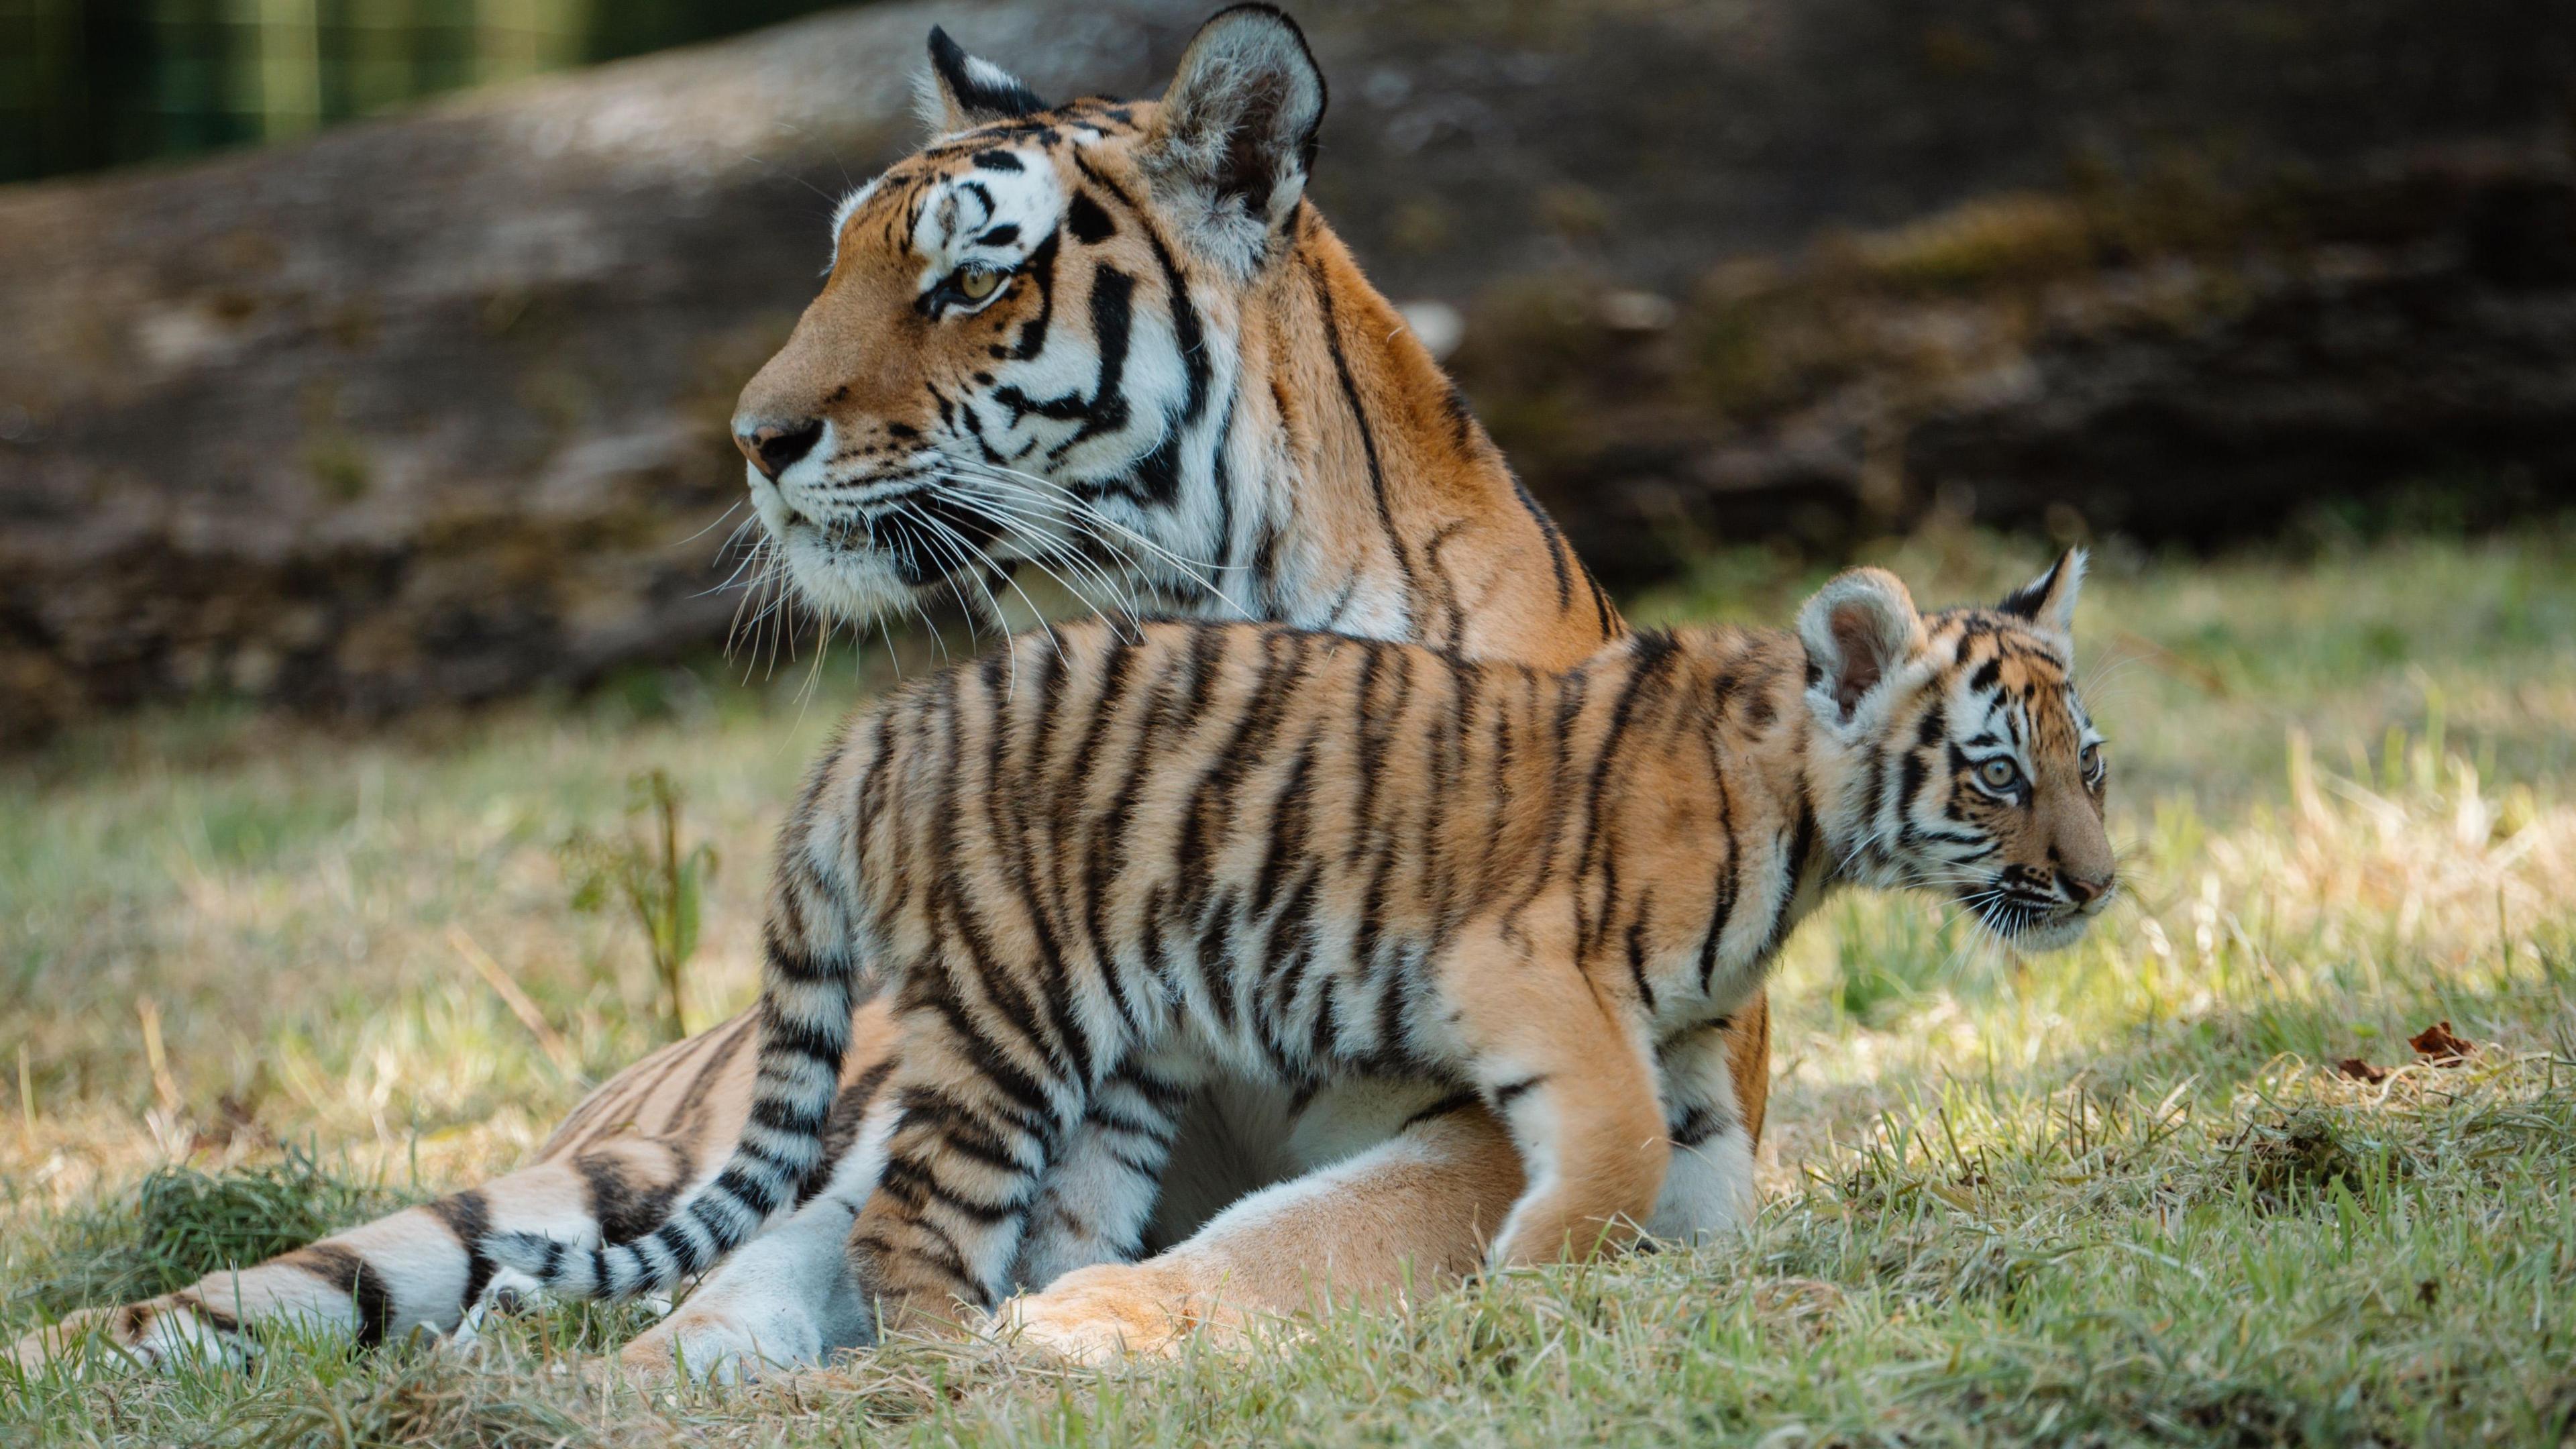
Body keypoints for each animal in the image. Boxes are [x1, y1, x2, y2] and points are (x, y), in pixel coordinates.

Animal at [0, 3, 1772, 1371]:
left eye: (969, 284)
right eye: (838, 267)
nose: (754, 439)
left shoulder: (1586, 1104)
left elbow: (1331, 1229)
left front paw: (1088, 1330)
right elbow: (790, 1258)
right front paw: (661, 1373)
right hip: (553, 1186)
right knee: (244, 1299)